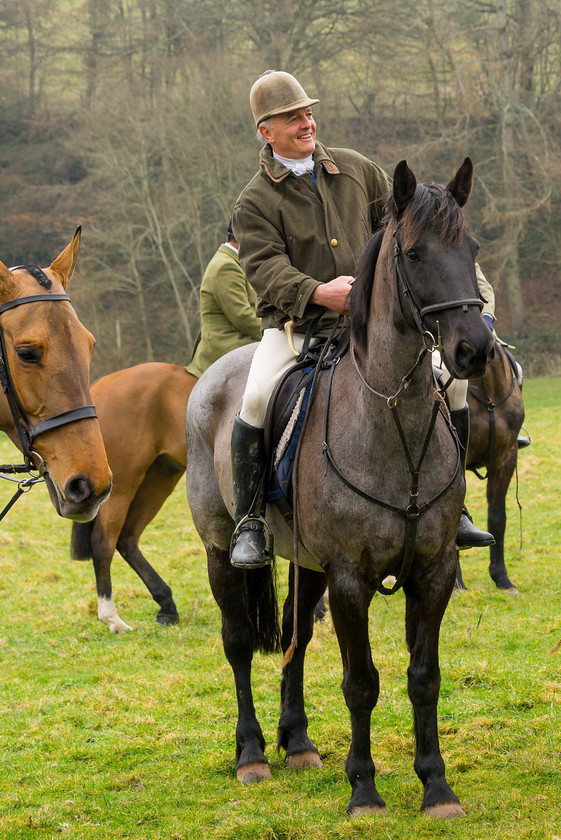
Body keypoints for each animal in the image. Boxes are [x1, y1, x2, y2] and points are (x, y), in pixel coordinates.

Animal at [186, 159, 492, 820]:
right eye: (415, 252)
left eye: (472, 249)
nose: (474, 350)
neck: (391, 419)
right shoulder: (351, 577)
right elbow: (362, 683)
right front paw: (365, 791)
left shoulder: (433, 570)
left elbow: (423, 677)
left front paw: (436, 787)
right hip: (221, 550)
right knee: (239, 643)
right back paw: (252, 754)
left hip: (308, 565)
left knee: (296, 638)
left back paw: (297, 743)